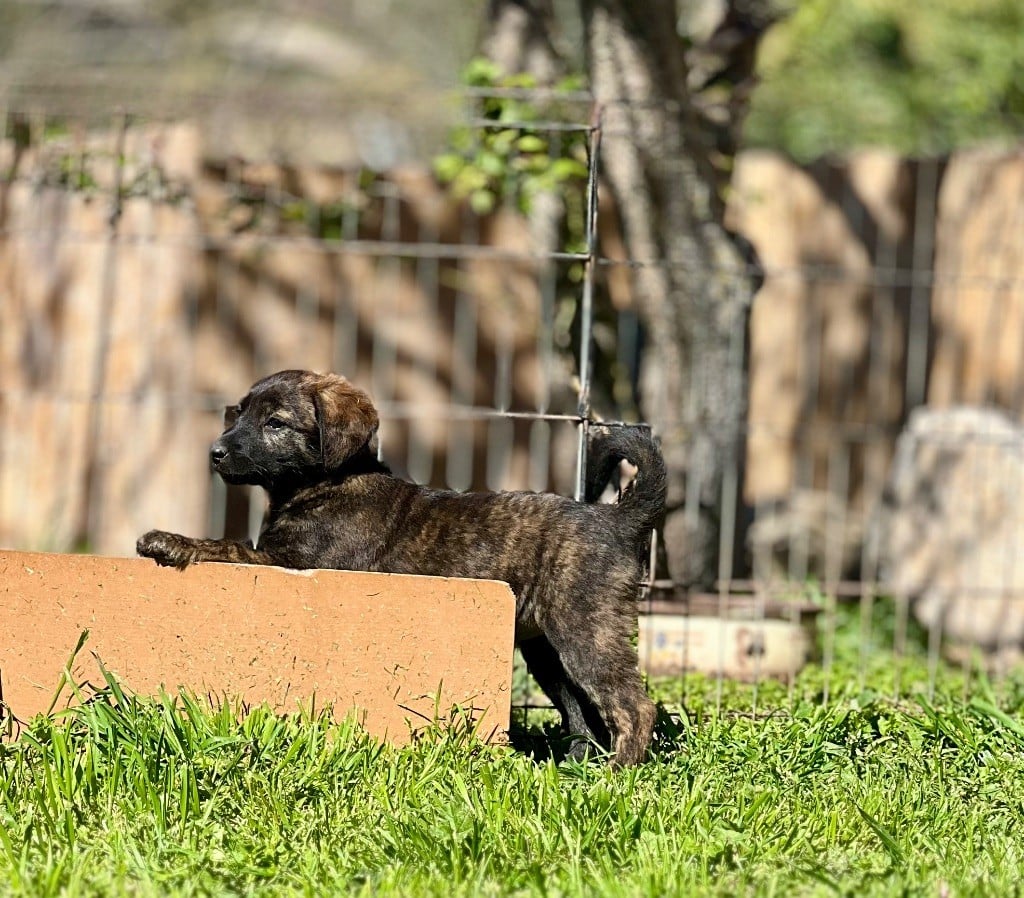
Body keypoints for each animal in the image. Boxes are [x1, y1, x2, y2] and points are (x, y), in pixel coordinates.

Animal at [138, 368, 663, 761]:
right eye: (240, 412)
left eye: (277, 424)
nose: (215, 453)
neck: (328, 481)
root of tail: (613, 517)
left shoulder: (290, 562)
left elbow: (226, 545)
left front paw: (168, 542)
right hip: (546, 651)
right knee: (582, 714)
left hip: (584, 631)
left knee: (634, 707)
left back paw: (617, 775)